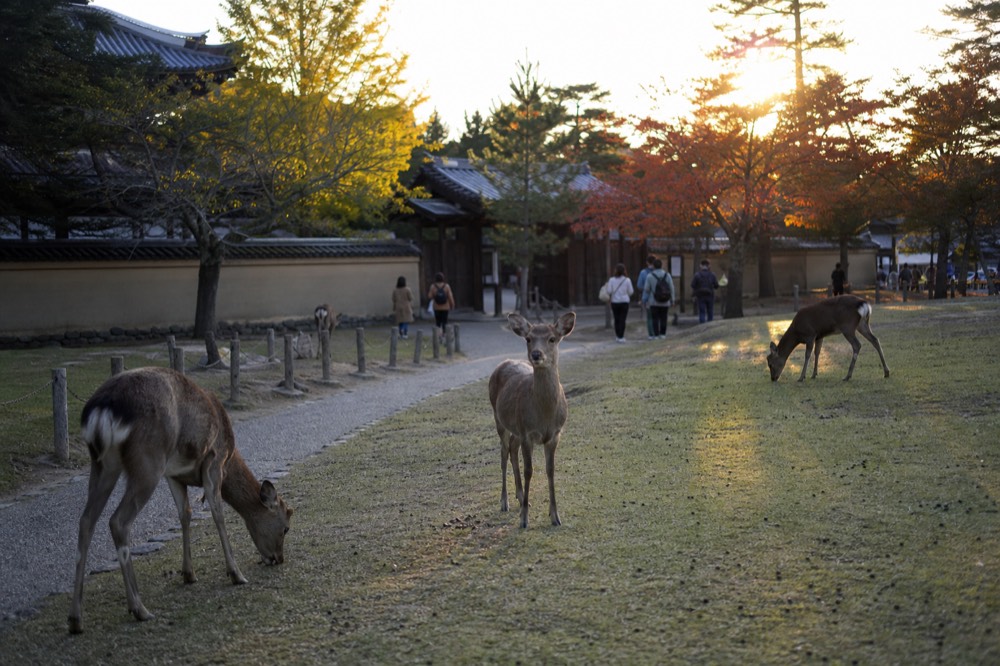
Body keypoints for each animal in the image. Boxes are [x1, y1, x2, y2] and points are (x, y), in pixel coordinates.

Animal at [68, 367, 293, 634]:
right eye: (286, 528)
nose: (278, 558)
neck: (230, 457)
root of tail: (103, 408)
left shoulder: (174, 475)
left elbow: (185, 514)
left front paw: (189, 574)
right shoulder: (214, 461)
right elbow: (217, 513)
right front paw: (236, 574)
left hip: (103, 464)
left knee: (86, 520)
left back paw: (76, 619)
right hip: (147, 461)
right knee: (118, 521)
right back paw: (139, 608)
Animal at [489, 312, 575, 529]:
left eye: (552, 338)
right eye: (528, 339)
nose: (536, 354)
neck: (544, 415)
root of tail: (503, 362)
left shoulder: (554, 434)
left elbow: (550, 470)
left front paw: (555, 516)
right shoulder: (527, 433)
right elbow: (529, 470)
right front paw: (524, 519)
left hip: (516, 429)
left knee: (512, 449)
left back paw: (521, 497)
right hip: (499, 419)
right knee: (503, 453)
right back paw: (506, 501)